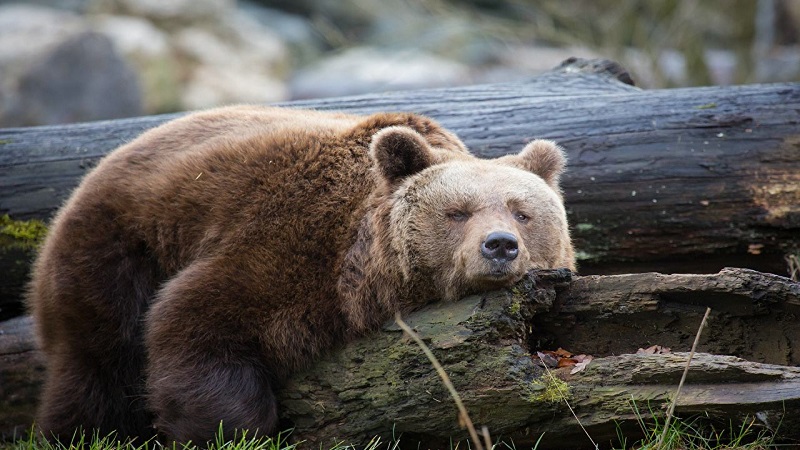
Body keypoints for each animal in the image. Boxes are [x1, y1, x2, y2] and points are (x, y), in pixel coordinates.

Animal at [26, 104, 576, 442]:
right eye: (458, 212)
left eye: (522, 212)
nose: (499, 246)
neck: (362, 269)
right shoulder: (285, 244)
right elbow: (196, 321)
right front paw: (229, 429)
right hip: (116, 249)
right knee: (97, 365)